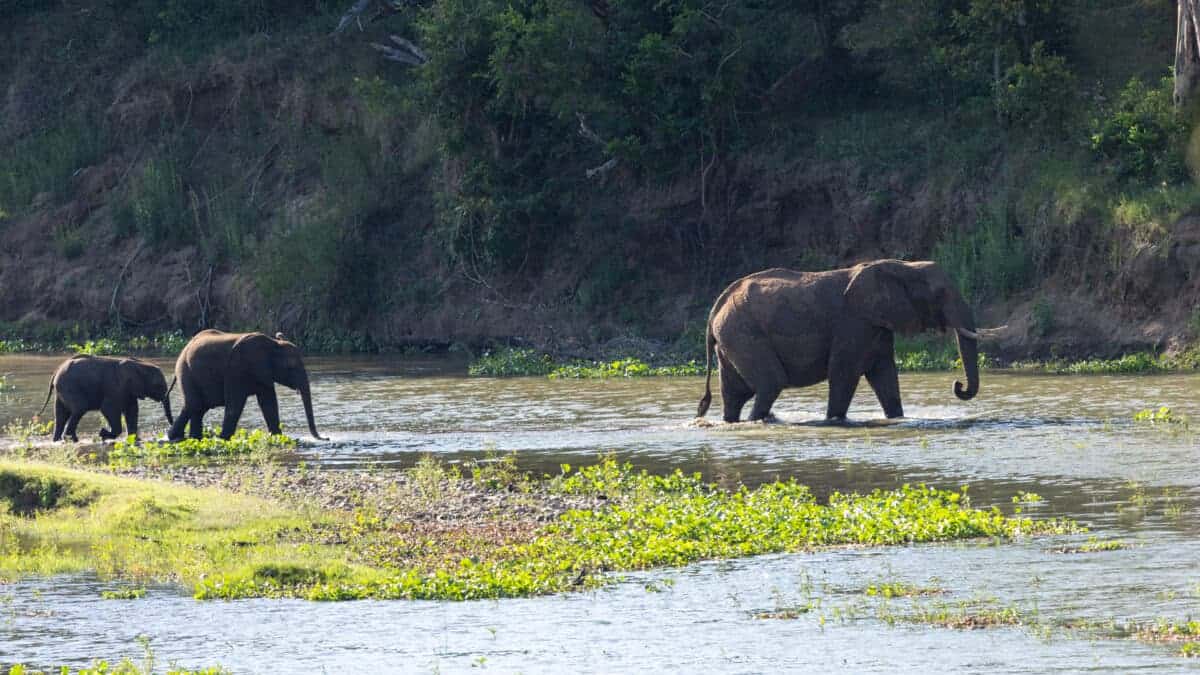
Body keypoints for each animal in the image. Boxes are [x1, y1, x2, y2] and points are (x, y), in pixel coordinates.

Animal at [38, 353, 175, 441]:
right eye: (159, 386)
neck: (139, 364)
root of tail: (57, 371)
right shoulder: (115, 387)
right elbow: (108, 409)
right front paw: (103, 434)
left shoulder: (128, 391)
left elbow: (132, 411)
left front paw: (134, 439)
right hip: (69, 387)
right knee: (79, 409)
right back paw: (71, 439)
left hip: (61, 389)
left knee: (61, 414)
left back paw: (58, 440)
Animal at [696, 257, 984, 420]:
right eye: (940, 293)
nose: (957, 385)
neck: (901, 265)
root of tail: (714, 310)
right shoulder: (853, 322)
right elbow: (844, 373)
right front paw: (835, 420)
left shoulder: (875, 325)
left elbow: (884, 374)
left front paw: (896, 418)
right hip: (744, 333)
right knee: (771, 383)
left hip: (732, 337)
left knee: (734, 393)